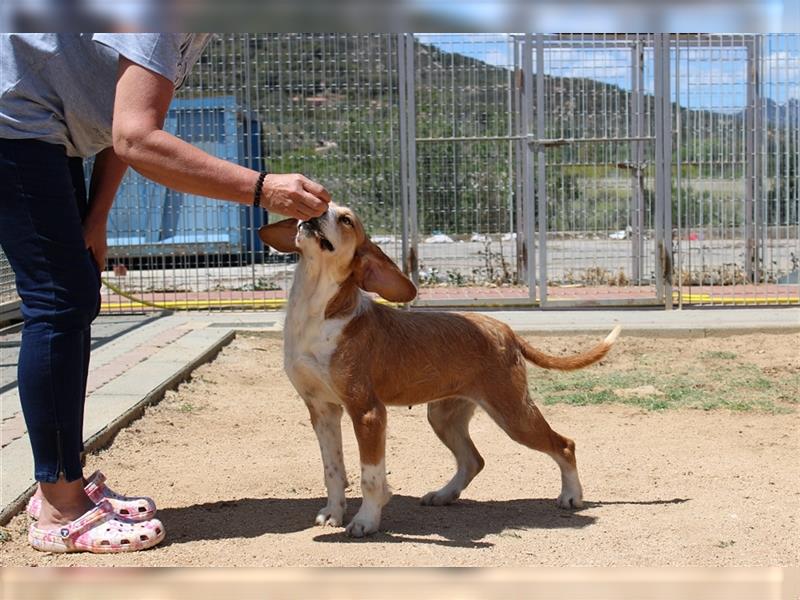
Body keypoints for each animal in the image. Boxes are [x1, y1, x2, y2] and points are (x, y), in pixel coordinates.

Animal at [260, 204, 620, 536]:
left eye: (346, 219)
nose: (315, 211)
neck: (318, 311)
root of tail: (505, 329)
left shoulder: (368, 412)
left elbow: (370, 478)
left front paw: (366, 521)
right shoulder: (322, 410)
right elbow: (333, 470)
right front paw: (333, 513)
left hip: (513, 413)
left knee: (564, 444)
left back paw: (572, 496)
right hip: (444, 416)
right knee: (473, 460)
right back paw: (445, 494)